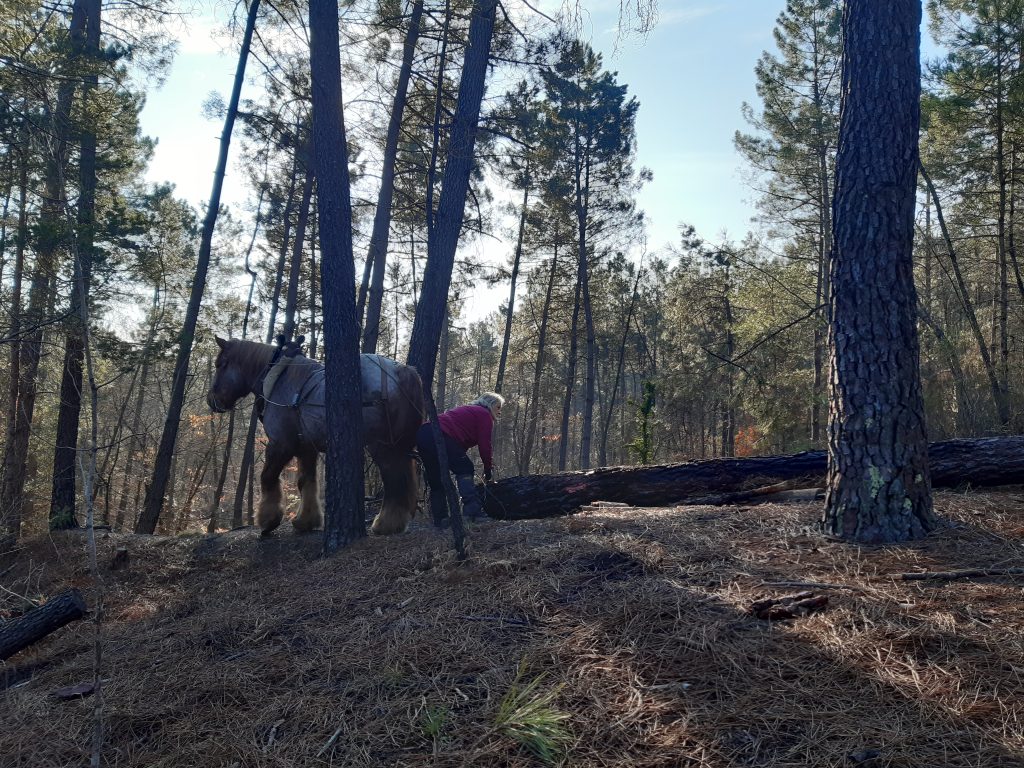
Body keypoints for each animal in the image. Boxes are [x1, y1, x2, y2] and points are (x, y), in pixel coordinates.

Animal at [207, 339, 423, 536]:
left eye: (219, 364)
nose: (211, 400)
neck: (277, 378)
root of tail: (402, 371)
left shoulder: (280, 444)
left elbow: (267, 477)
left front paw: (269, 521)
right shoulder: (305, 448)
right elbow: (306, 481)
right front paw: (306, 521)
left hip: (381, 445)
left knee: (394, 478)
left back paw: (386, 524)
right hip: (399, 444)